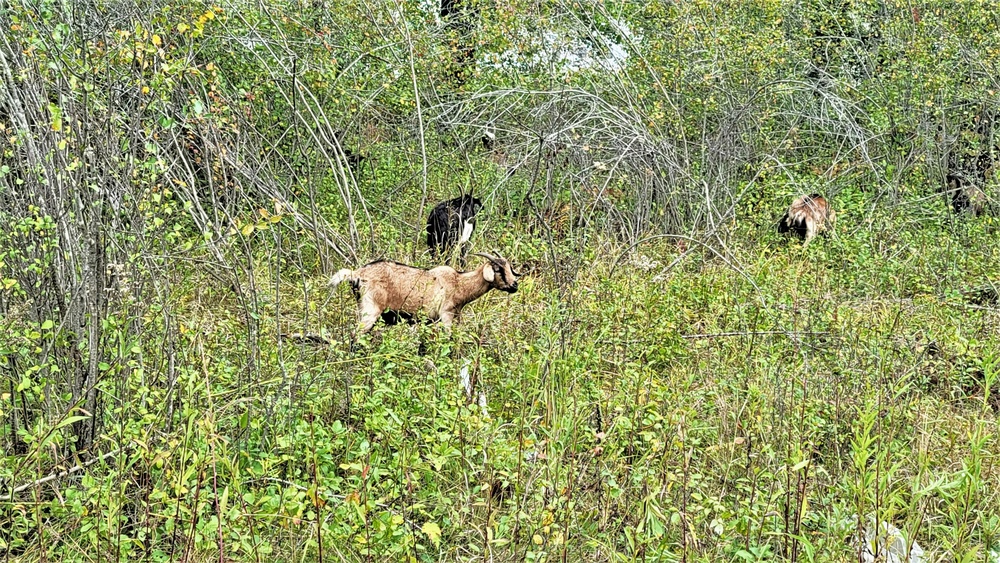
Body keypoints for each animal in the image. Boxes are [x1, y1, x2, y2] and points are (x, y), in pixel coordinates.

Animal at [330, 253, 520, 338]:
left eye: (509, 268)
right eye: (498, 270)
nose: (515, 285)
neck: (459, 283)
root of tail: (356, 274)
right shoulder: (446, 315)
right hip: (370, 309)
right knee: (355, 336)